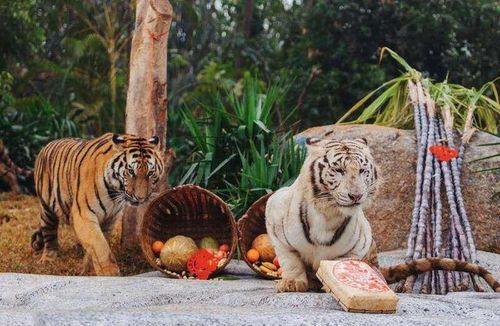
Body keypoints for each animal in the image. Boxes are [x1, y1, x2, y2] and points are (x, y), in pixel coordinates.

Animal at [30, 132, 165, 276]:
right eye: (130, 171)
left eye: (150, 173)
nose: (140, 198)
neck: (115, 192)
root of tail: (48, 144)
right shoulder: (83, 214)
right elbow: (100, 245)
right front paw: (110, 274)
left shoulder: (109, 219)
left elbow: (94, 247)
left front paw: (87, 270)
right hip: (46, 208)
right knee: (49, 234)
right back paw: (47, 260)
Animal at [266, 136, 378, 292]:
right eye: (339, 170)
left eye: (362, 171)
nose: (356, 196)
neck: (328, 214)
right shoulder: (274, 214)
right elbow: (290, 261)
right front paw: (292, 283)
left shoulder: (359, 245)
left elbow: (341, 262)